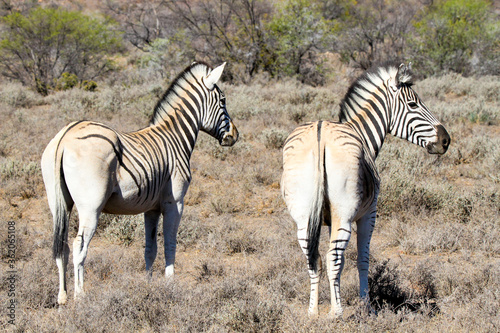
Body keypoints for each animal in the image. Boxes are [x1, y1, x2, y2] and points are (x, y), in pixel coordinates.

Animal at [42, 61, 239, 304]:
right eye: (223, 101)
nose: (234, 135)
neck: (175, 138)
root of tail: (66, 136)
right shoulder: (175, 203)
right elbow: (170, 244)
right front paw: (170, 285)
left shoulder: (151, 208)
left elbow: (150, 248)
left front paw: (148, 284)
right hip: (90, 207)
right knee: (79, 246)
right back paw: (80, 296)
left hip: (59, 203)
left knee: (62, 246)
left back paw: (62, 297)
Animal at [282, 63, 450, 316]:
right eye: (413, 105)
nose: (445, 140)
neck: (360, 133)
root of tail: (321, 133)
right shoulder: (369, 213)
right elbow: (363, 259)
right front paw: (366, 306)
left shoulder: (324, 219)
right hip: (344, 213)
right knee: (333, 258)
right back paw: (337, 312)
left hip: (303, 216)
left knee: (314, 259)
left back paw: (313, 312)